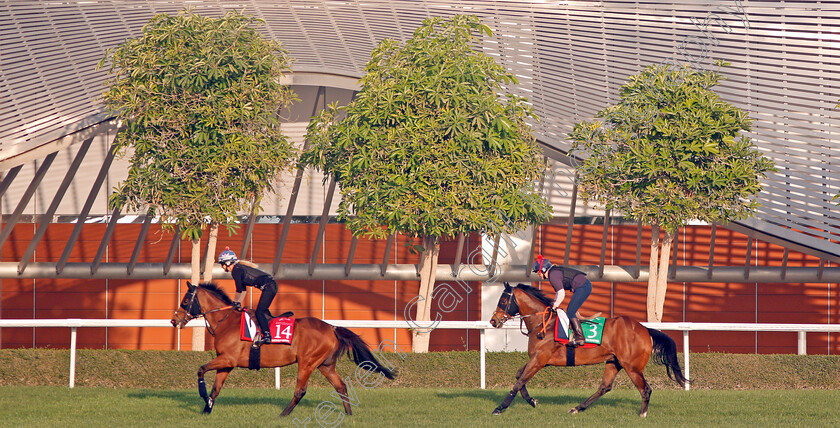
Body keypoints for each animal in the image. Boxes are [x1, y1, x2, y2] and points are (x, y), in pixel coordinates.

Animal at [171, 282, 398, 416]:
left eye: (185, 300)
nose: (174, 321)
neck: (226, 322)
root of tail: (331, 327)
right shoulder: (226, 362)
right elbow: (216, 388)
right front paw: (206, 409)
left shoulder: (228, 359)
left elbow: (201, 370)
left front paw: (203, 398)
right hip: (325, 365)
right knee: (340, 386)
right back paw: (349, 414)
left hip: (307, 363)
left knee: (301, 390)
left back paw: (283, 414)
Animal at [486, 282, 688, 416]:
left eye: (502, 300)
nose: (493, 321)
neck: (544, 324)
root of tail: (645, 329)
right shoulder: (540, 360)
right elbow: (519, 375)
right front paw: (532, 401)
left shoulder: (540, 359)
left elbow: (519, 381)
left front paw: (499, 408)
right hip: (614, 362)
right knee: (605, 387)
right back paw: (577, 408)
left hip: (632, 367)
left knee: (645, 389)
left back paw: (642, 414)